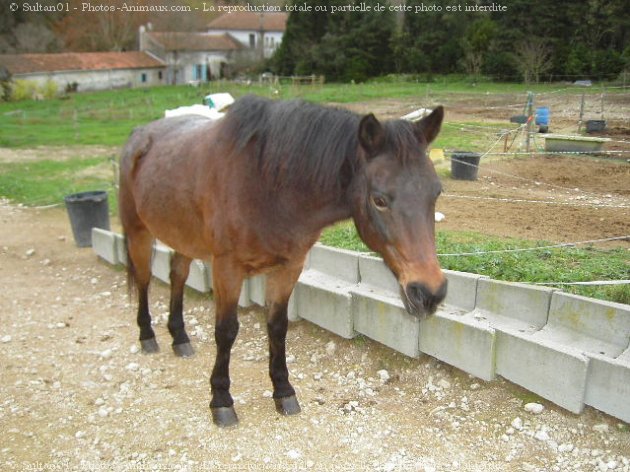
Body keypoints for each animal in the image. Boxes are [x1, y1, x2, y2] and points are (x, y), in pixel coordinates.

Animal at [118, 94, 450, 426]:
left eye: (435, 193)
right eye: (379, 200)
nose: (430, 292)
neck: (266, 185)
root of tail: (139, 134)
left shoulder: (289, 267)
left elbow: (277, 326)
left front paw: (283, 390)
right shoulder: (227, 268)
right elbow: (226, 331)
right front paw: (221, 399)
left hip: (183, 238)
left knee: (177, 276)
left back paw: (180, 338)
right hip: (139, 233)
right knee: (145, 279)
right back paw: (148, 336)